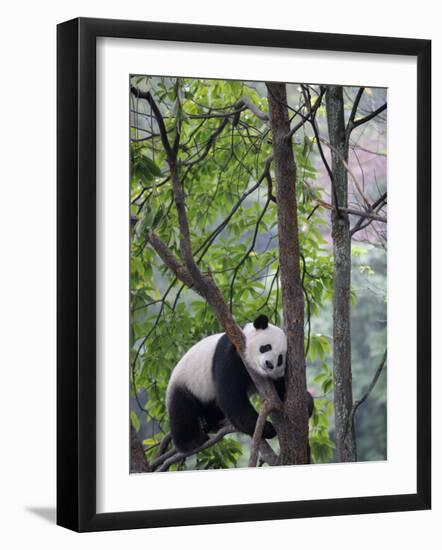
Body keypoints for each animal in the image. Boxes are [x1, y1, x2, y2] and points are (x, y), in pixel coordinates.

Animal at [167, 316, 314, 454]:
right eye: (266, 347)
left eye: (280, 359)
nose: (269, 364)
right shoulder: (231, 355)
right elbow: (231, 397)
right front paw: (267, 428)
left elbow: (281, 392)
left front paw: (307, 403)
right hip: (188, 381)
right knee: (182, 410)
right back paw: (192, 441)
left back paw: (213, 423)